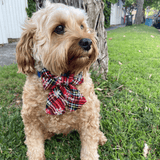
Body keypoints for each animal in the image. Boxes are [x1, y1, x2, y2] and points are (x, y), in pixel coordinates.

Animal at [16, 0, 107, 159]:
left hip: (95, 105)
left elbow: (90, 148)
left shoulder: (89, 117)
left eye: (82, 26)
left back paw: (100, 136)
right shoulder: (30, 119)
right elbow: (34, 147)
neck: (60, 79)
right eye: (59, 28)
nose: (87, 42)